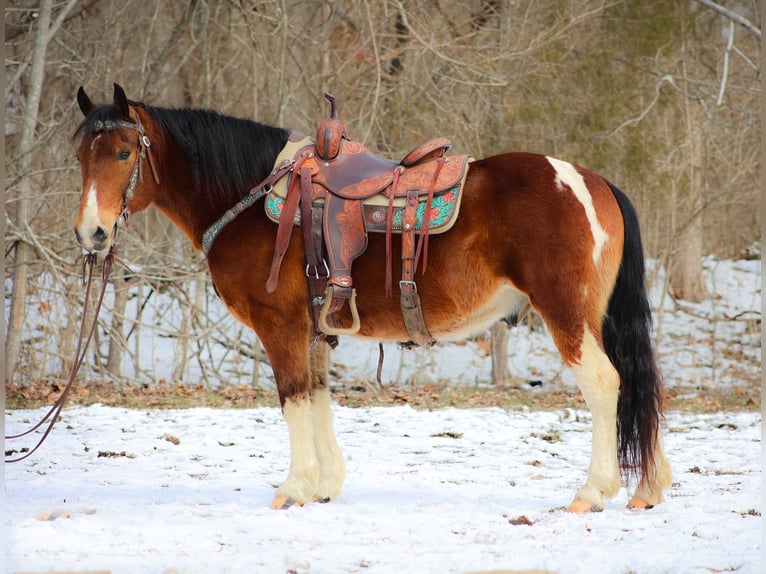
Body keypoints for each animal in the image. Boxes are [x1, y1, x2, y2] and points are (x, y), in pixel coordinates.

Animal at [73, 83, 672, 513]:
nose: (92, 233)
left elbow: (293, 399)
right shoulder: (314, 331)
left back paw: (593, 491)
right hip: (595, 317)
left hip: (567, 315)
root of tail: (592, 182)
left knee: (606, 384)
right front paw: (325, 485)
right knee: (636, 379)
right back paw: (649, 487)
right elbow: (318, 398)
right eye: (81, 154)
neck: (250, 199)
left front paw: (294, 488)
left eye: (123, 152)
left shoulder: (279, 327)